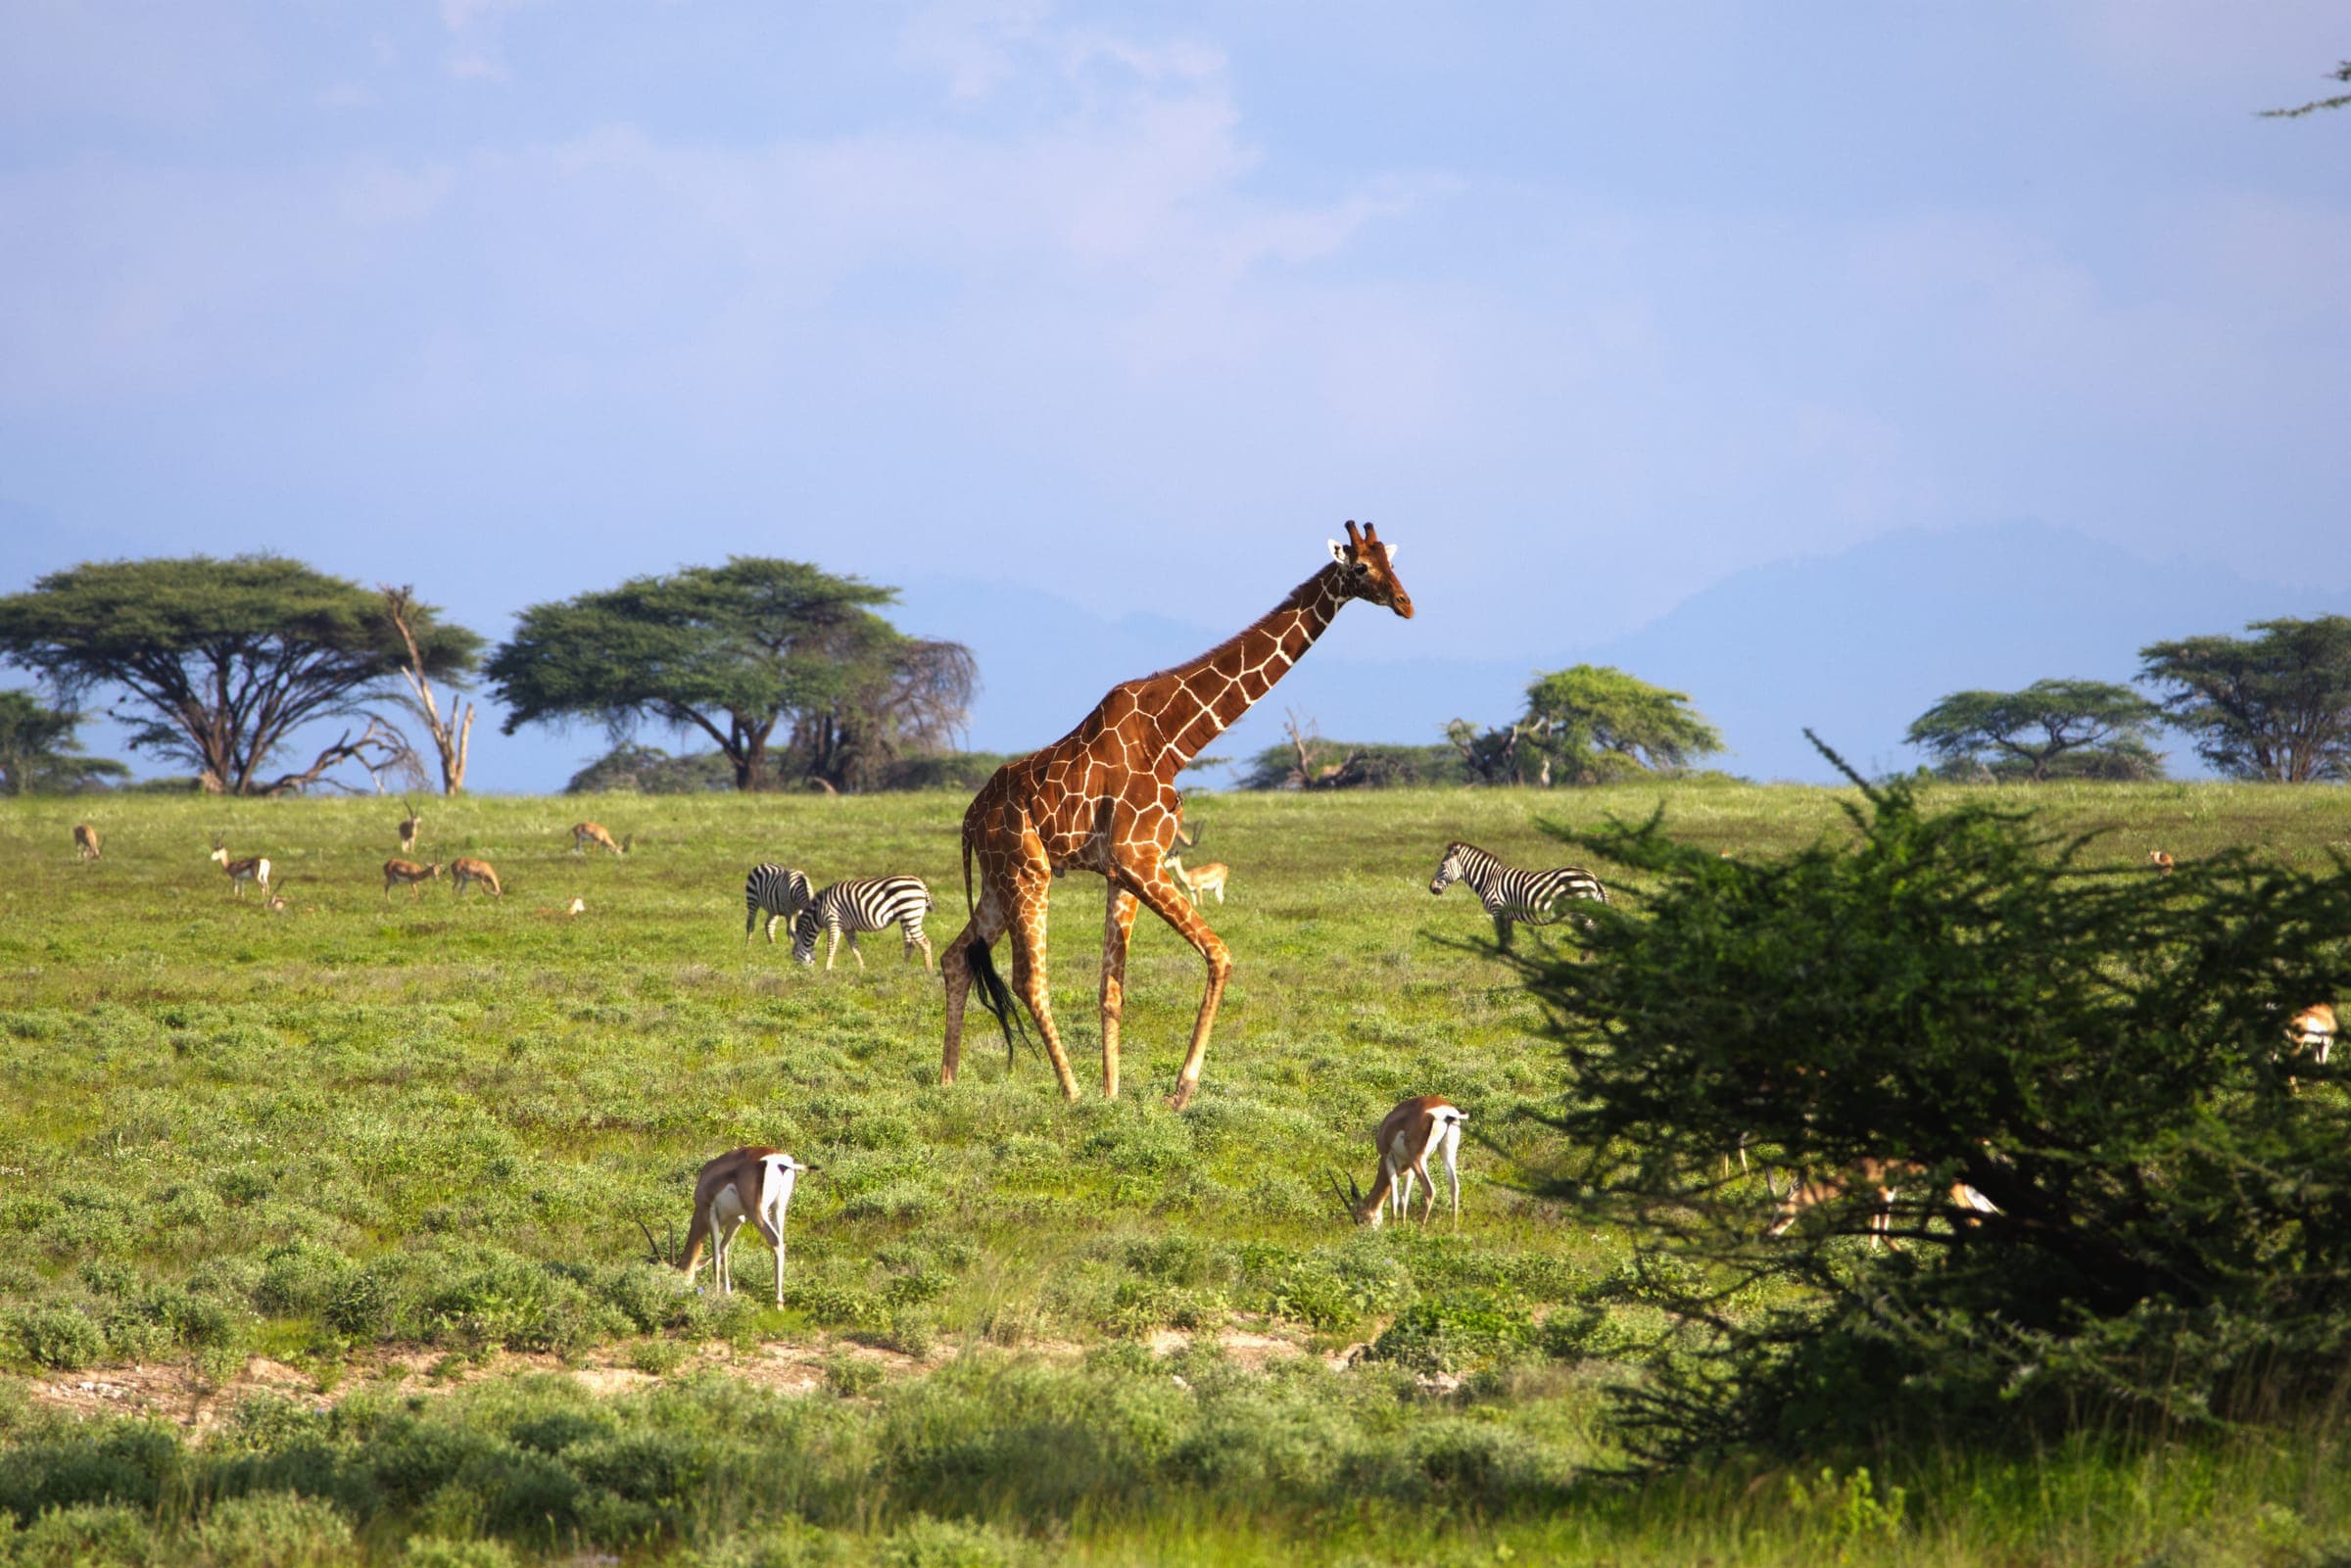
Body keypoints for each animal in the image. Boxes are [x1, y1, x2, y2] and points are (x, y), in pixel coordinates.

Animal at [679, 1146, 818, 1305]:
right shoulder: (739, 1218)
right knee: (781, 1241)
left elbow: (716, 1255)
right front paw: (727, 1292)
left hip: (757, 1212)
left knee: (775, 1241)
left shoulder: (710, 1213)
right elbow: (723, 1249)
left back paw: (778, 1302)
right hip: (778, 1207)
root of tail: (781, 1162)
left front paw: (716, 1293)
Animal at [940, 520, 1414, 1110]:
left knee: (957, 955)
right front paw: (1178, 1092)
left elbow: (1112, 989)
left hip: (998, 879)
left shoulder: (1124, 870)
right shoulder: (1138, 861)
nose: (1406, 603)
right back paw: (1070, 1092)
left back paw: (946, 1084)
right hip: (1027, 872)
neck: (1173, 740)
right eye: (1363, 568)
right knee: (1029, 978)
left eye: (1394, 563)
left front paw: (1114, 1096)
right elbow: (1219, 955)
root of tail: (968, 817)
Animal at [1331, 1096, 1468, 1229]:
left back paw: (1421, 1229)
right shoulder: (1409, 1168)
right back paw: (1454, 1229)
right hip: (1446, 1152)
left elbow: (1394, 1197)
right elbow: (1404, 1198)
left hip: (1417, 1158)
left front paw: (1394, 1227)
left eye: (1359, 1220)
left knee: (1430, 1189)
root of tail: (1446, 1111)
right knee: (1454, 1185)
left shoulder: (1387, 1158)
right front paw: (1402, 1225)